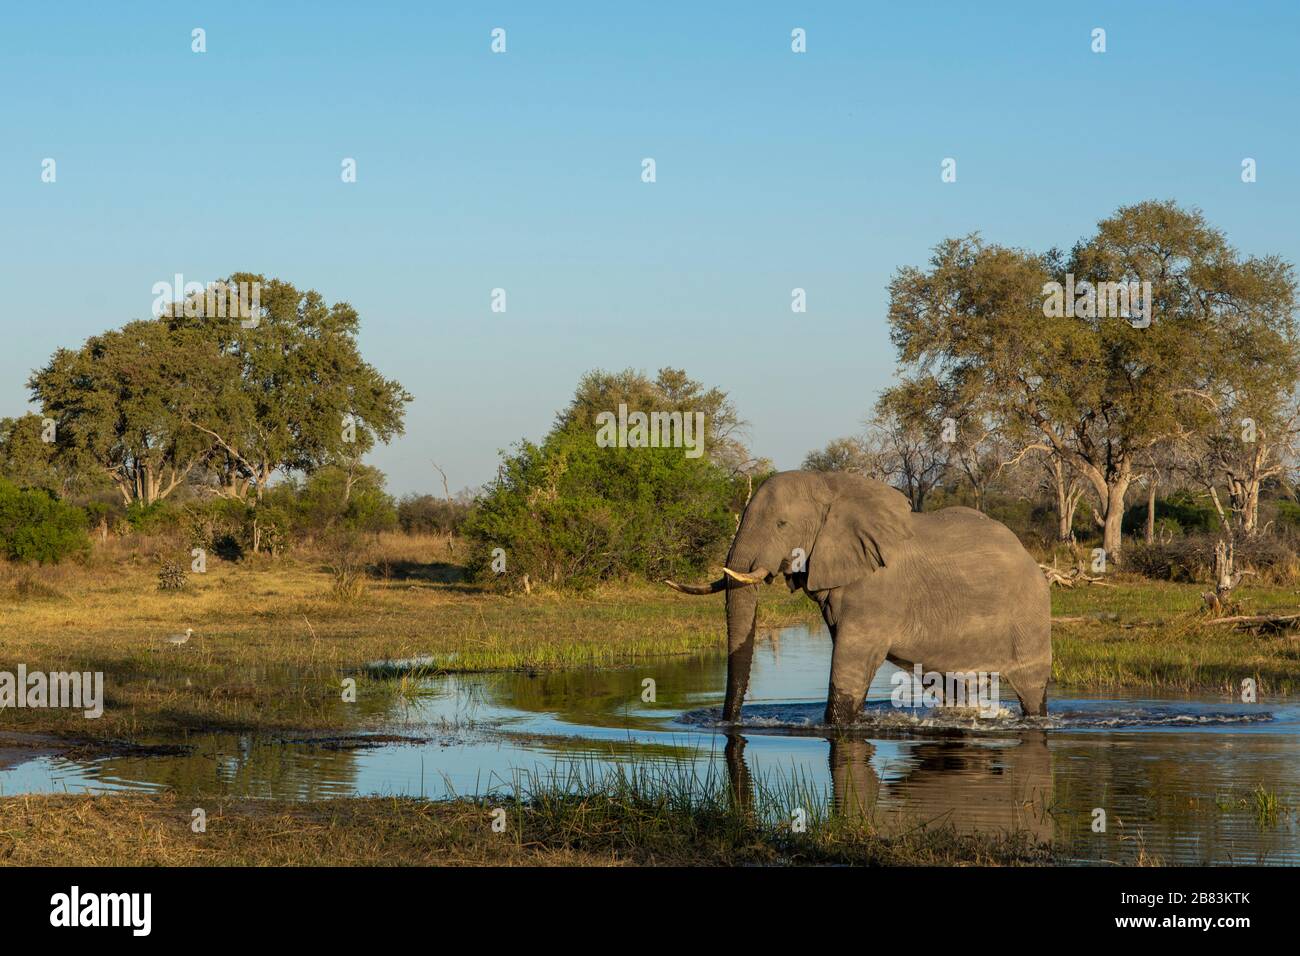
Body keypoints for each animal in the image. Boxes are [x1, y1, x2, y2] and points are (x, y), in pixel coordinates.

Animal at [665, 470, 1050, 723]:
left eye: (781, 525)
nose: (728, 723)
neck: (831, 485)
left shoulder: (876, 591)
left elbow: (851, 661)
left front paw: (836, 726)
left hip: (1029, 615)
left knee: (1031, 688)